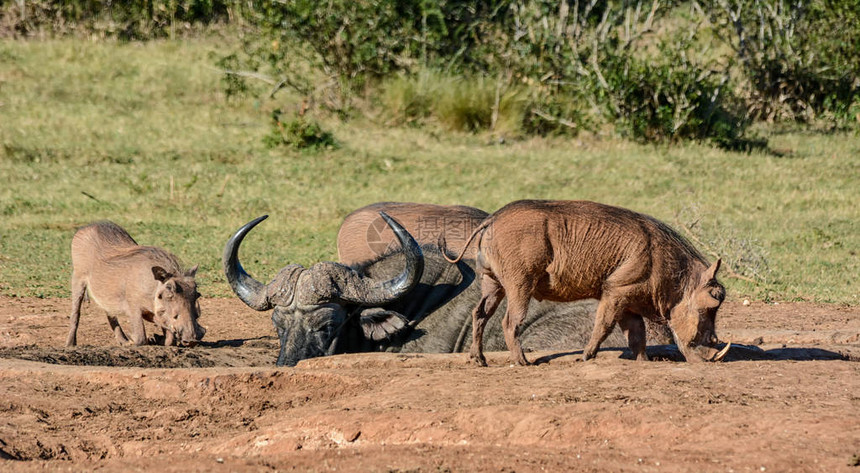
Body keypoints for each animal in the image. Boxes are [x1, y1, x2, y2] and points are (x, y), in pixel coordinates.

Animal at [68, 220, 206, 346]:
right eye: (169, 290)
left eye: (197, 294)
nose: (192, 340)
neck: (151, 288)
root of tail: (86, 227)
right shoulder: (133, 306)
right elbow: (141, 338)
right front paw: (136, 341)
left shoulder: (155, 314)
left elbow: (169, 339)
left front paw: (156, 340)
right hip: (78, 278)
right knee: (76, 313)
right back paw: (70, 344)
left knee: (109, 312)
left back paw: (123, 341)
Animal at [446, 199, 728, 366]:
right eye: (713, 300)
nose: (712, 359)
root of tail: (492, 218)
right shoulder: (615, 291)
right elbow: (603, 325)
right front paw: (585, 356)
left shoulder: (629, 302)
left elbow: (637, 334)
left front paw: (643, 362)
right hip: (519, 283)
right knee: (510, 321)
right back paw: (523, 362)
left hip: (491, 282)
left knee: (479, 314)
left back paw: (479, 360)